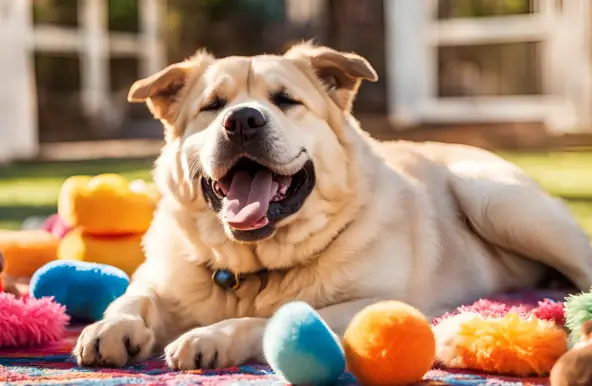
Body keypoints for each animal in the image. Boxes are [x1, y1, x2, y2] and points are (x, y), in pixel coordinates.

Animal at [73, 43, 592, 370]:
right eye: (213, 105)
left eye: (286, 100)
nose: (242, 121)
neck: (253, 270)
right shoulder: (159, 276)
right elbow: (133, 296)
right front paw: (111, 328)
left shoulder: (372, 304)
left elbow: (270, 318)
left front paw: (211, 337)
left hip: (497, 201)